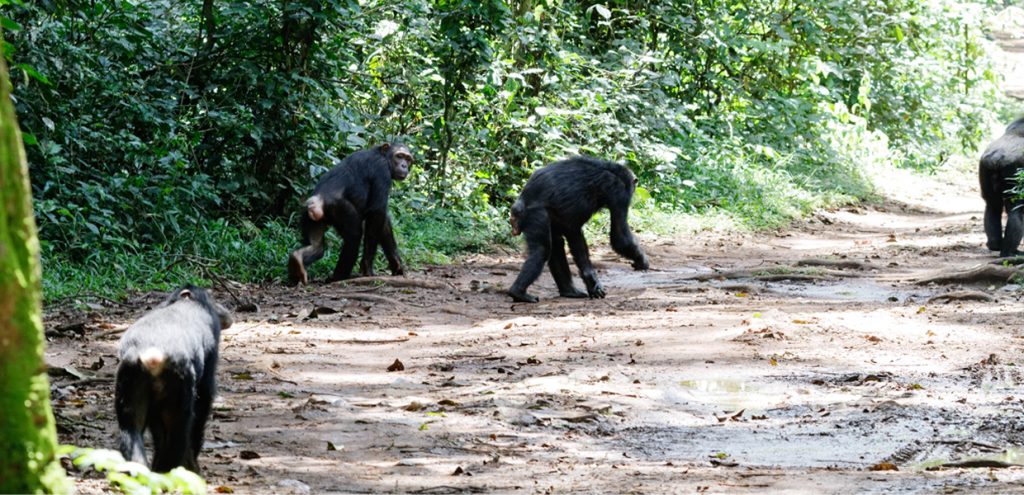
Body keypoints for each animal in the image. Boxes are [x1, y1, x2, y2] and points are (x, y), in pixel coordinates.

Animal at [114, 284, 232, 475]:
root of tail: (152, 355)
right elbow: (204, 396)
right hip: (178, 381)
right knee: (177, 429)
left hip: (129, 375)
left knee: (131, 428)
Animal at [286, 141, 413, 284]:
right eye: (399, 156)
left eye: (408, 159)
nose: (404, 165)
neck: (383, 156)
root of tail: (316, 201)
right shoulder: (381, 171)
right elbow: (377, 212)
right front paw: (367, 267)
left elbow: (383, 222)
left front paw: (397, 266)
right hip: (340, 208)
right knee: (354, 236)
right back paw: (339, 277)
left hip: (311, 218)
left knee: (317, 247)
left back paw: (297, 262)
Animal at [509, 155, 651, 301]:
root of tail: (518, 206)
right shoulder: (619, 194)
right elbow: (619, 236)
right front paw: (641, 261)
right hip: (536, 215)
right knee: (542, 250)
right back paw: (518, 293)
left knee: (556, 245)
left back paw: (570, 291)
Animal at [974, 117, 1024, 257]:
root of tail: (995, 158)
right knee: (1016, 211)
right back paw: (1009, 253)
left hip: (984, 167)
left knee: (992, 206)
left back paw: (995, 245)